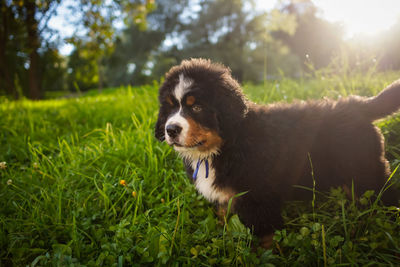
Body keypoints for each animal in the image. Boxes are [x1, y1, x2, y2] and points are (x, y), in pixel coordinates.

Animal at [154, 58, 400, 245]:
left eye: (196, 107)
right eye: (170, 107)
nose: (171, 129)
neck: (225, 145)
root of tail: (359, 105)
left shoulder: (259, 196)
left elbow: (265, 235)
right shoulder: (226, 198)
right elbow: (224, 218)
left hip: (365, 172)